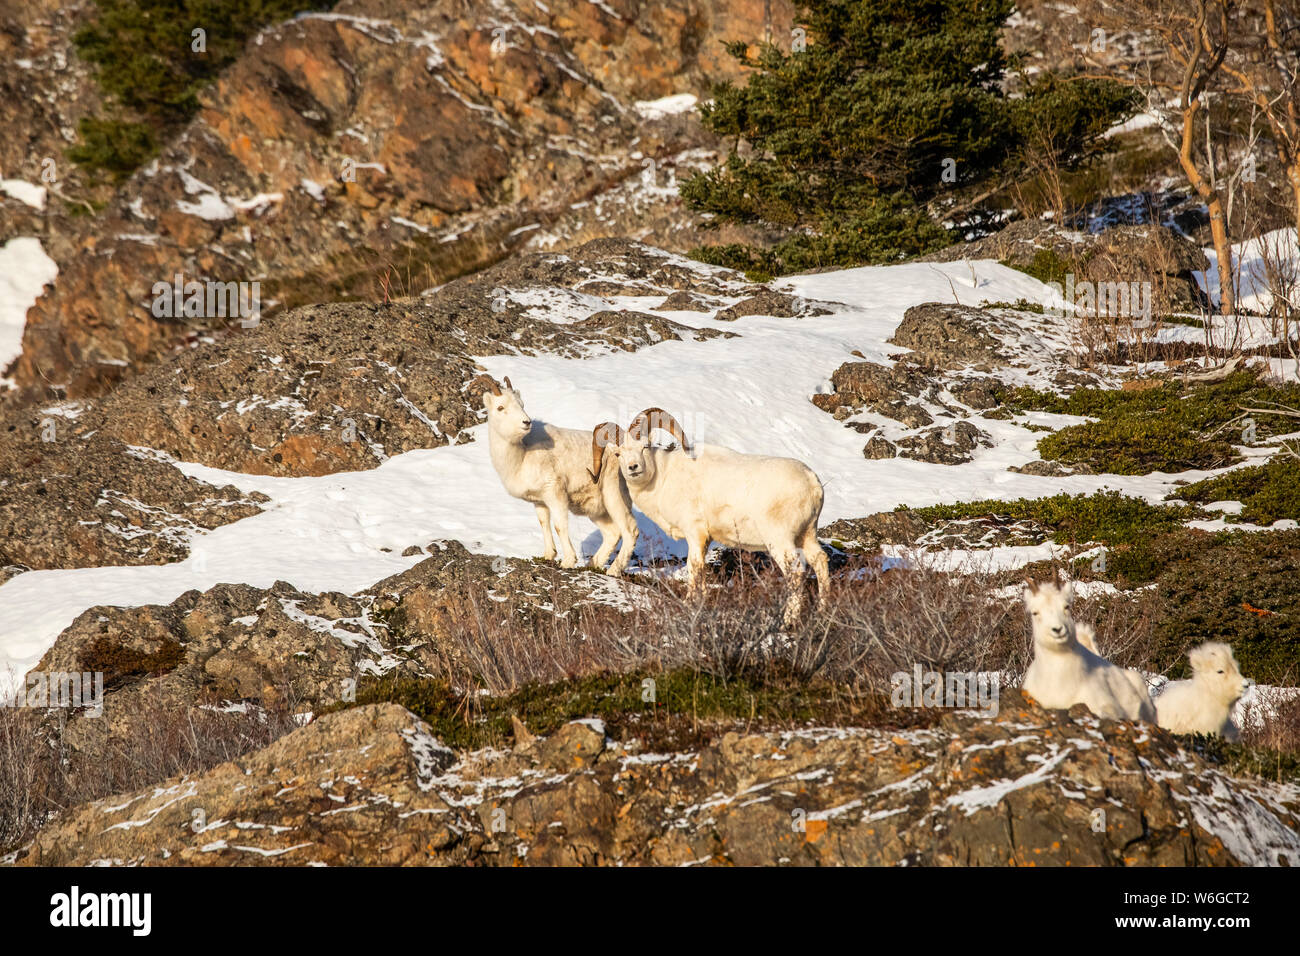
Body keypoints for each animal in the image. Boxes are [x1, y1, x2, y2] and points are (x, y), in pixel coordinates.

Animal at [478, 374, 639, 574]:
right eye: (501, 407)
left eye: (521, 404)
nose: (526, 422)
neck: (522, 456)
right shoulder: (539, 501)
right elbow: (544, 524)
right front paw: (549, 555)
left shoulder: (555, 494)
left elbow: (559, 526)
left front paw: (568, 561)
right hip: (596, 510)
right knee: (612, 533)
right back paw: (593, 565)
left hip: (614, 497)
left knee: (630, 531)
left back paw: (613, 571)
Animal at [587, 408, 821, 624]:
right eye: (618, 454)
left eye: (644, 447)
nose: (633, 467)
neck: (663, 479)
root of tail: (812, 482)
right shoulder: (705, 539)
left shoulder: (695, 533)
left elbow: (694, 567)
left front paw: (689, 602)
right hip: (807, 535)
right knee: (820, 561)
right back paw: (823, 609)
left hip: (780, 541)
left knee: (796, 573)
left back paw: (788, 621)